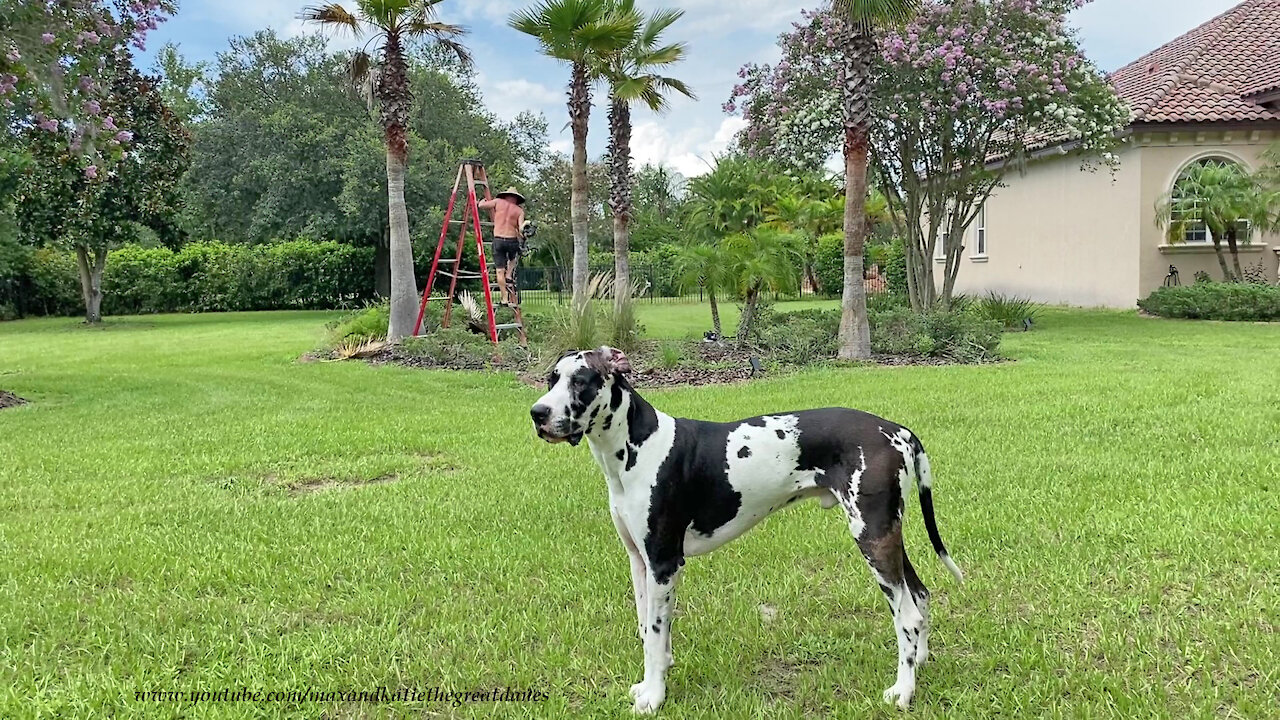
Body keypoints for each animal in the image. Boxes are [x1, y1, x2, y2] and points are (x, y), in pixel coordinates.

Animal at [529, 345, 962, 707]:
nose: (538, 413)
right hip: (886, 533)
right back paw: (920, 661)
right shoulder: (640, 561)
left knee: (907, 616)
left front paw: (654, 697)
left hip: (871, 536)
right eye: (551, 378)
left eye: (581, 380)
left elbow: (654, 633)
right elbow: (647, 631)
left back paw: (902, 691)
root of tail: (898, 431)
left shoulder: (664, 564)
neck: (638, 445)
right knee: (920, 595)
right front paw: (652, 682)